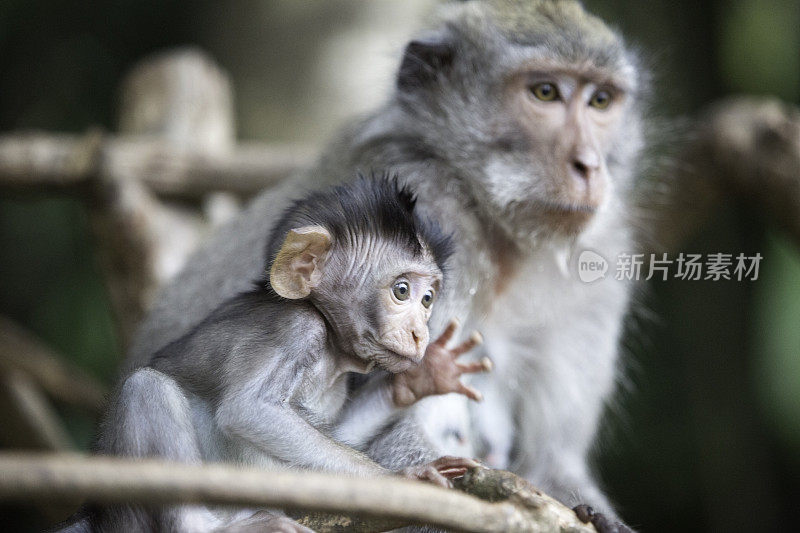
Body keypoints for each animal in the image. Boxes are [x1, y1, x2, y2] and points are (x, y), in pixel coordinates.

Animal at [87, 176, 488, 532]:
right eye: (402, 291)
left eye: (428, 299)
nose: (420, 333)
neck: (331, 350)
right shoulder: (296, 329)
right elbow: (249, 410)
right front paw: (400, 480)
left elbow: (337, 434)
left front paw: (423, 377)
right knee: (146, 386)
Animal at [128, 0, 648, 524]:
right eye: (545, 92)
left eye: (600, 101)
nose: (589, 165)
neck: (497, 230)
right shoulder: (431, 211)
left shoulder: (601, 256)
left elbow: (551, 458)